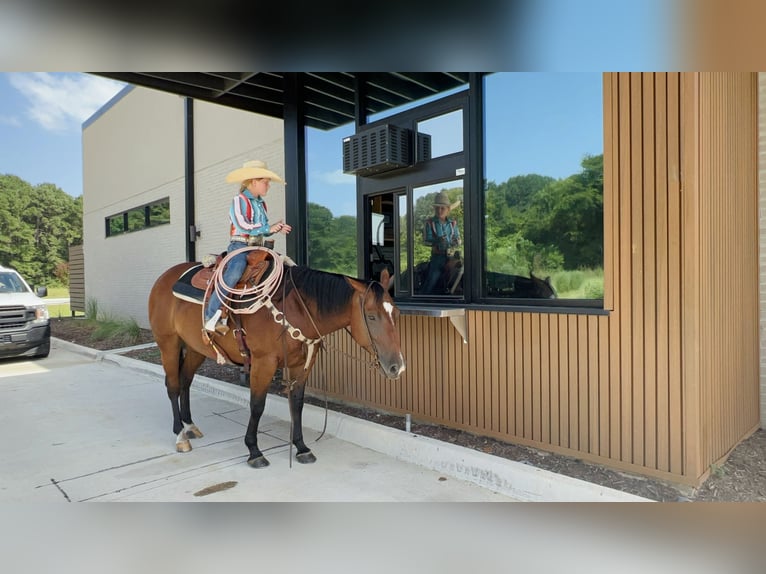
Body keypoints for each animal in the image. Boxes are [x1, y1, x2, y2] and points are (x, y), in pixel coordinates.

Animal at [146, 258, 404, 470]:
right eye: (371, 316)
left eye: (396, 314)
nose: (397, 367)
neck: (297, 308)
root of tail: (163, 278)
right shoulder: (264, 362)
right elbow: (257, 405)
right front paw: (254, 451)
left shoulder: (303, 364)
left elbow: (296, 404)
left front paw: (301, 448)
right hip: (168, 344)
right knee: (172, 385)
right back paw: (181, 435)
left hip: (196, 348)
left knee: (185, 380)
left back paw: (190, 426)